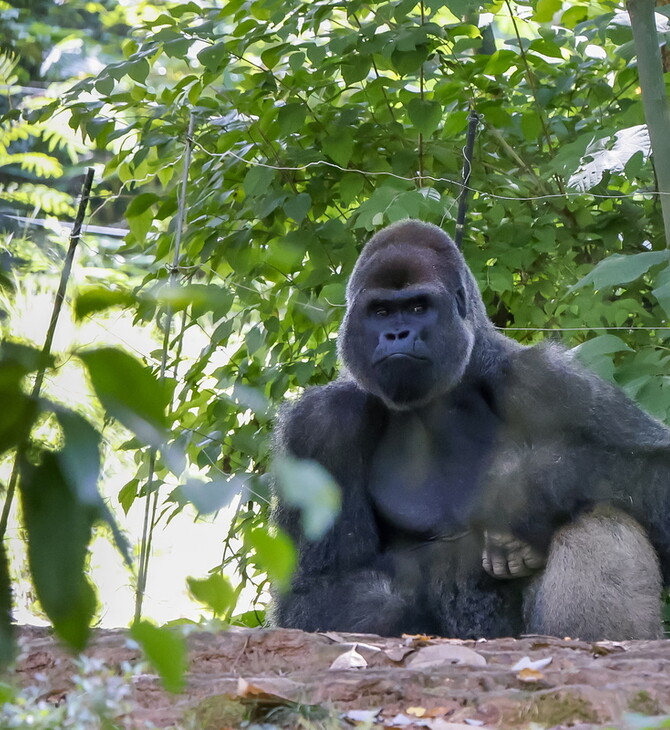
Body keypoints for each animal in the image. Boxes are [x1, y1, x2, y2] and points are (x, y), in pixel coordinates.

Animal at [270, 218, 668, 636]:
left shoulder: (550, 382)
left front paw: (528, 489)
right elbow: (315, 590)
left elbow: (657, 473)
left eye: (418, 307)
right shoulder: (319, 426)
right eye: (380, 311)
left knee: (600, 513)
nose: (396, 335)